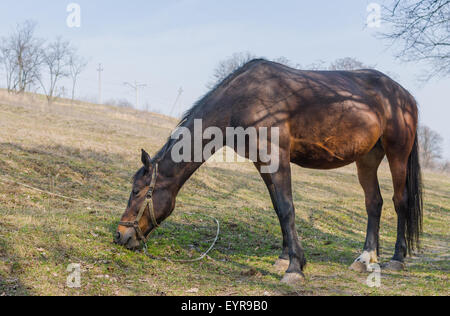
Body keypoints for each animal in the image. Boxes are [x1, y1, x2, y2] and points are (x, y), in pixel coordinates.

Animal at [113, 58, 422, 284]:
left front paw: (295, 268)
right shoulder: (263, 164)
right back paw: (366, 258)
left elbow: (287, 208)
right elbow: (278, 208)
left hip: (397, 154)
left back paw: (396, 259)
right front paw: (285, 258)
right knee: (374, 203)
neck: (245, 99)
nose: (120, 235)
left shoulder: (277, 158)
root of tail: (405, 96)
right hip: (367, 158)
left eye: (137, 191)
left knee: (399, 201)